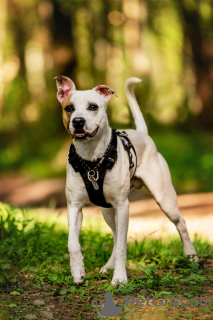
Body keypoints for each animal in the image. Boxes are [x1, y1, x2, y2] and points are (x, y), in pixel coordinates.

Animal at [54, 75, 197, 284]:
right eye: (69, 108)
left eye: (92, 106)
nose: (78, 121)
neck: (92, 161)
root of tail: (143, 134)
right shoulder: (74, 206)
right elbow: (73, 242)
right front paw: (78, 270)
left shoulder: (123, 206)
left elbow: (122, 246)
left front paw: (120, 278)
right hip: (107, 211)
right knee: (115, 236)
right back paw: (108, 266)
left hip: (165, 199)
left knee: (181, 224)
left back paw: (191, 255)